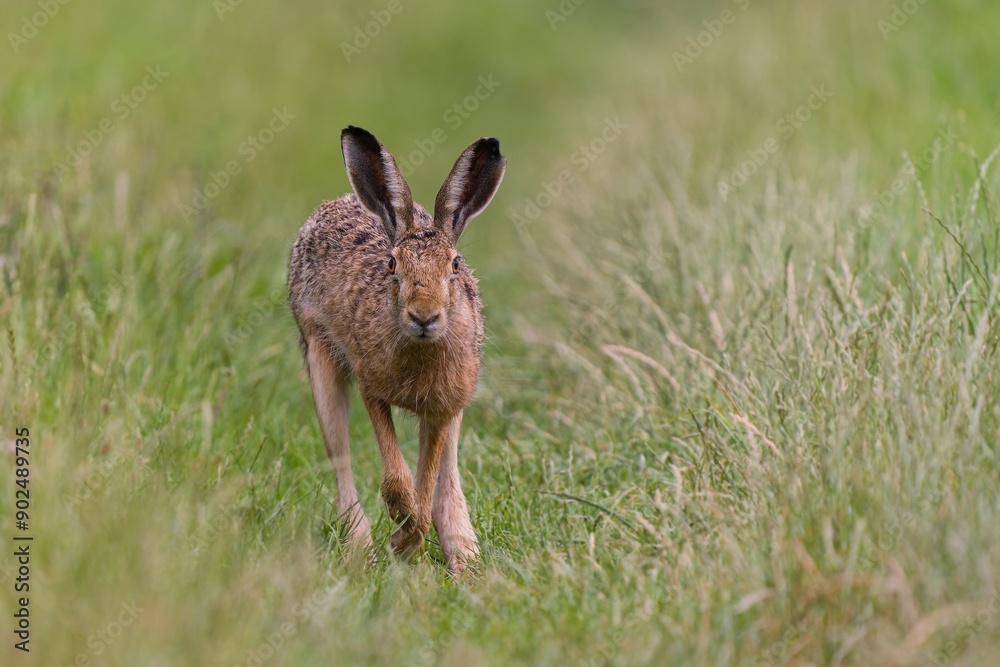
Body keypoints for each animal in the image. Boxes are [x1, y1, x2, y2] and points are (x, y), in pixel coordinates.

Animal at [288, 126, 506, 575]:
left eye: (455, 265)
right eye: (392, 265)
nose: (423, 316)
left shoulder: (443, 405)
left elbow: (426, 484)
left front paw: (407, 541)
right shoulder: (371, 387)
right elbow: (395, 478)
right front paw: (400, 538)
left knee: (447, 480)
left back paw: (465, 560)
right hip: (319, 354)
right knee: (340, 457)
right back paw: (362, 551)